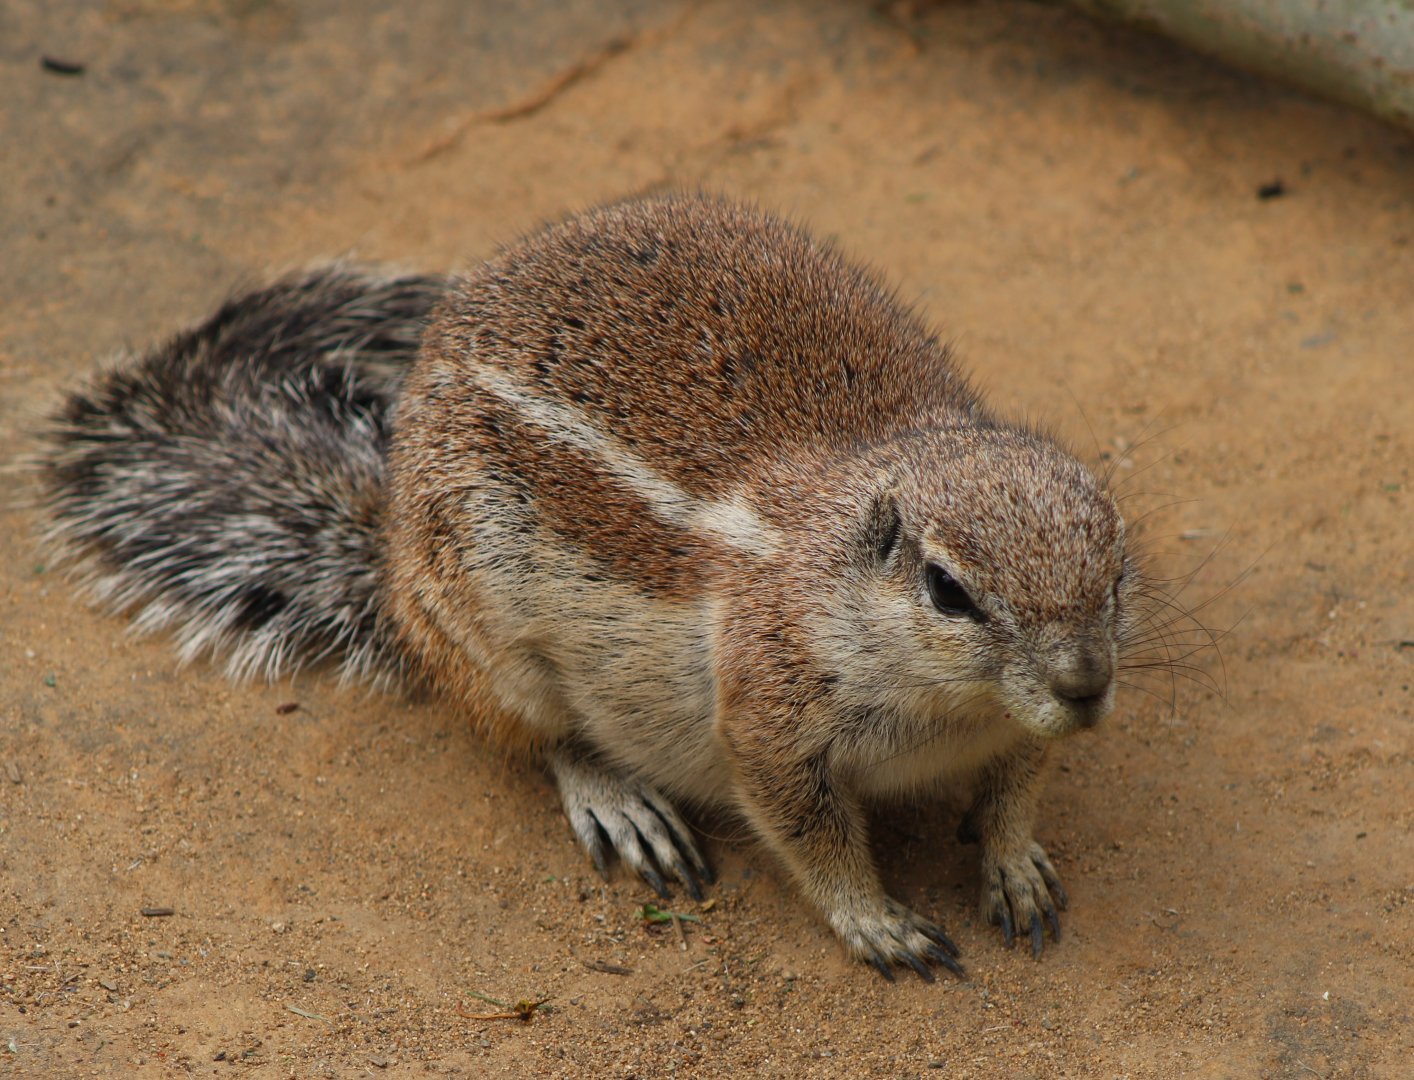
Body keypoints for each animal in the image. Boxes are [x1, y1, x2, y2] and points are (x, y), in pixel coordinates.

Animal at [41, 193, 1155, 980]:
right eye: (947, 589)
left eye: (1115, 563)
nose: (1086, 687)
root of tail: (389, 555)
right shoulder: (769, 719)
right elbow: (812, 836)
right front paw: (878, 923)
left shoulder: (1019, 729)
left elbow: (1017, 786)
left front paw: (1011, 861)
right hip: (491, 638)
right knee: (543, 738)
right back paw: (616, 800)